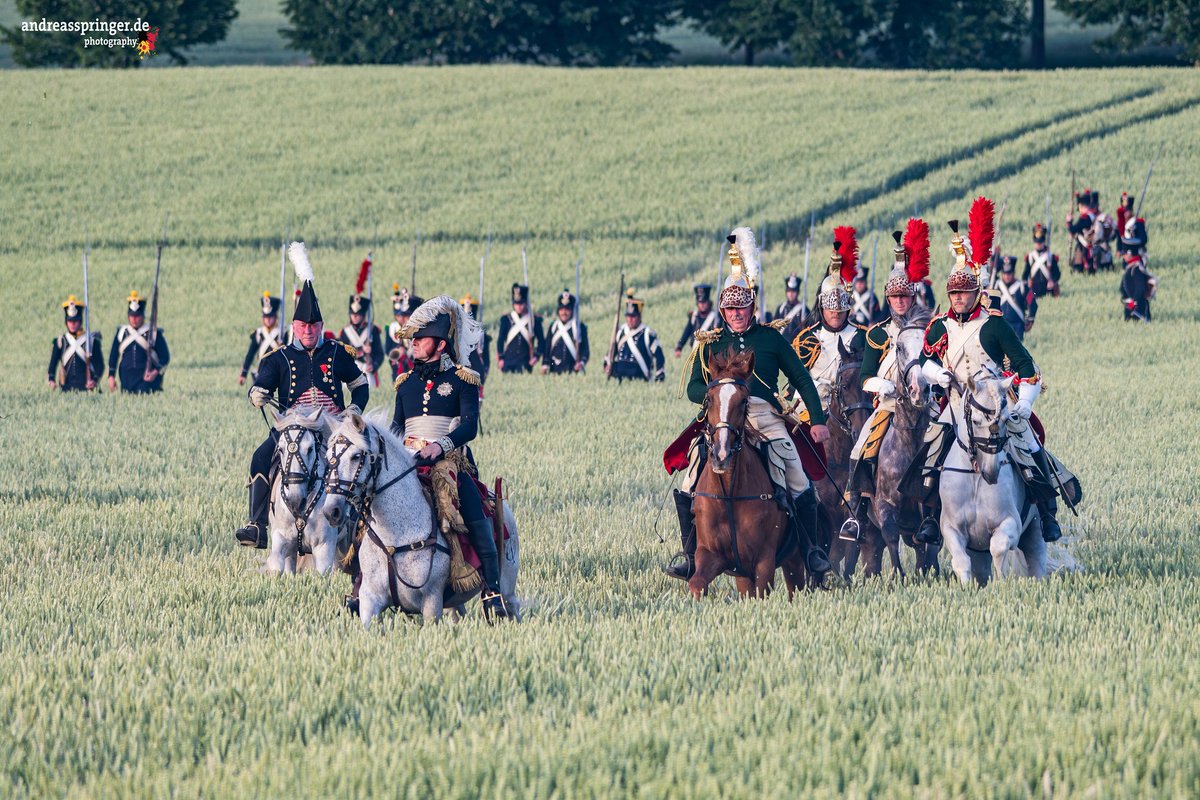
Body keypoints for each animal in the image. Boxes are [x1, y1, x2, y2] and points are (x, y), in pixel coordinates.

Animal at [267, 407, 343, 575]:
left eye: (310, 449)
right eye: (280, 449)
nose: (295, 502)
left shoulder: (323, 548)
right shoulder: (282, 540)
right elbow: (276, 568)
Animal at [321, 412, 518, 623]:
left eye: (356, 456)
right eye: (327, 457)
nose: (331, 511)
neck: (396, 536)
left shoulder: (431, 603)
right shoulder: (370, 599)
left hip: (508, 589)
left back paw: (495, 602)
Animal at [691, 350, 801, 599]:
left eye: (743, 401)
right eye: (709, 398)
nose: (721, 455)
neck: (729, 493)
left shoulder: (763, 562)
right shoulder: (712, 555)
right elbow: (696, 584)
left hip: (793, 560)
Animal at [940, 371, 1046, 587]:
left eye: (1007, 419)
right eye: (976, 421)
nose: (991, 472)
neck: (975, 479)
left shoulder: (1010, 522)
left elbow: (998, 546)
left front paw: (1000, 582)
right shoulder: (951, 528)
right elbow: (961, 561)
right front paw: (966, 588)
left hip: (1034, 531)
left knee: (1036, 560)